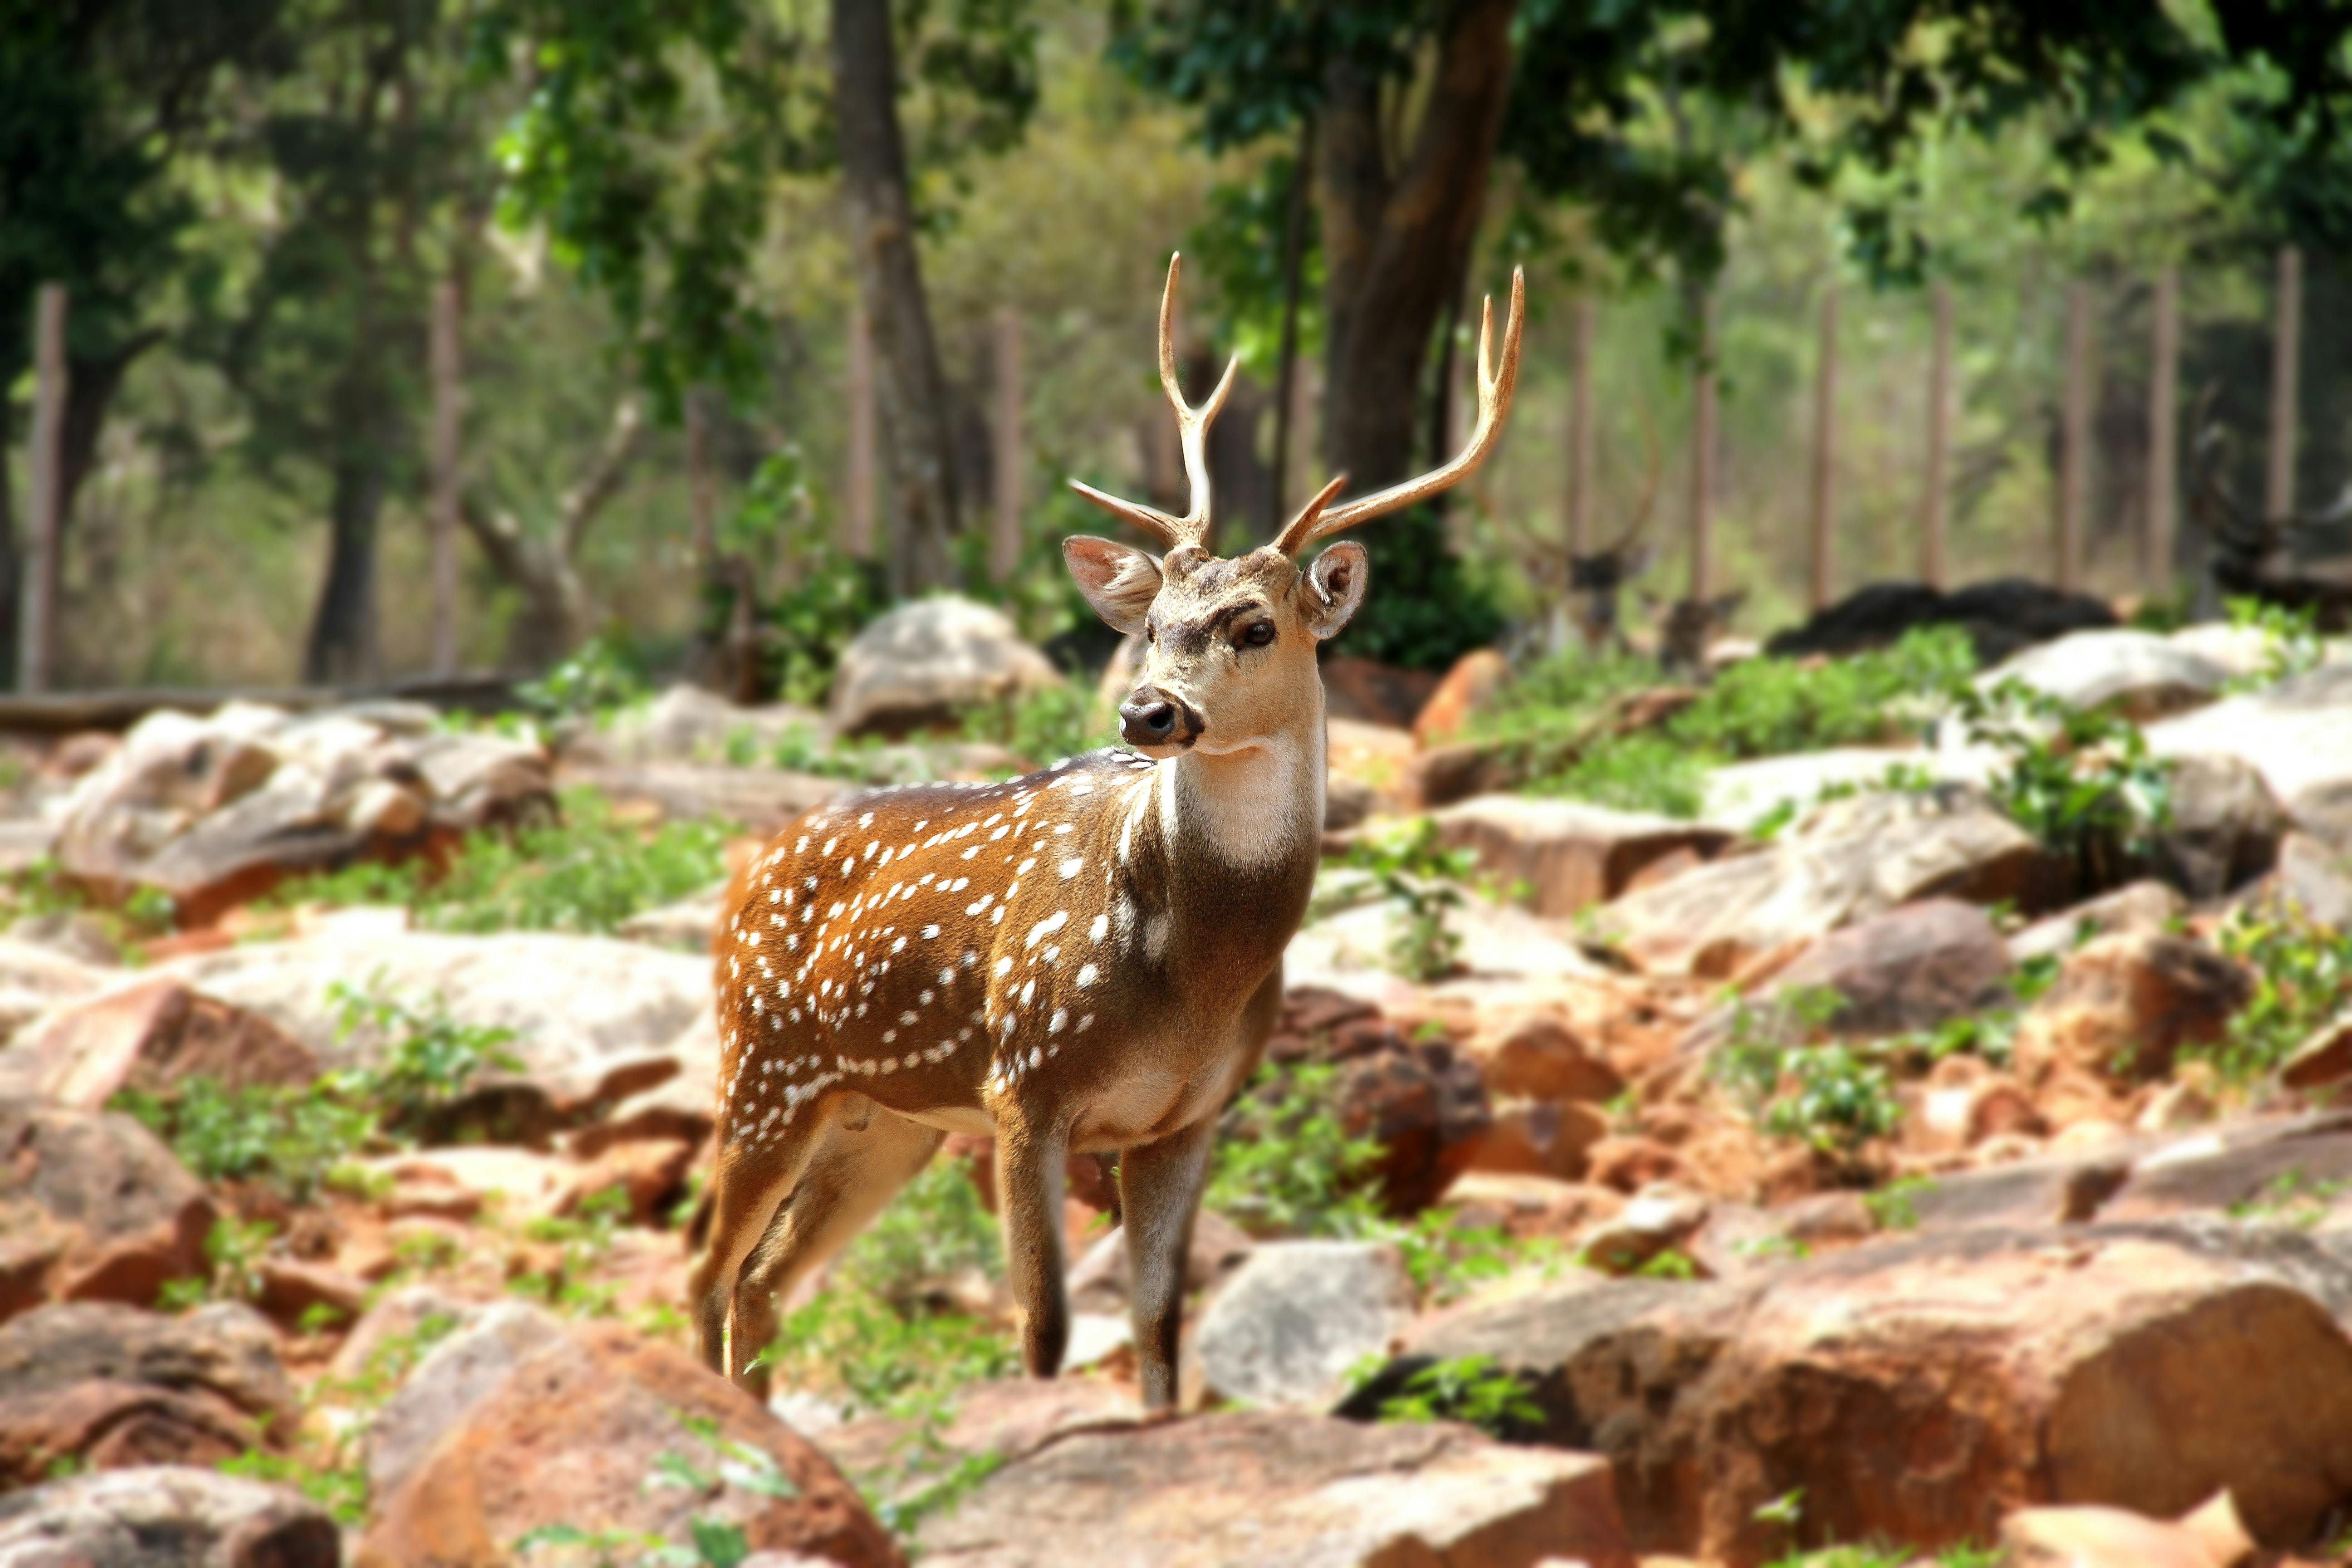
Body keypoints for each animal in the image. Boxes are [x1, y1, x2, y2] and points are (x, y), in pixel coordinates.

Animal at [686, 257, 1524, 1410]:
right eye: (1151, 623)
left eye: (1254, 625)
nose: (1147, 711)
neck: (1186, 976)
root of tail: (745, 871)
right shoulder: (1023, 1083)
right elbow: (1042, 1329)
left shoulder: (1188, 1114)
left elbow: (1158, 1330)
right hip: (767, 1062)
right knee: (707, 1273)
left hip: (886, 1114)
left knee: (764, 1282)